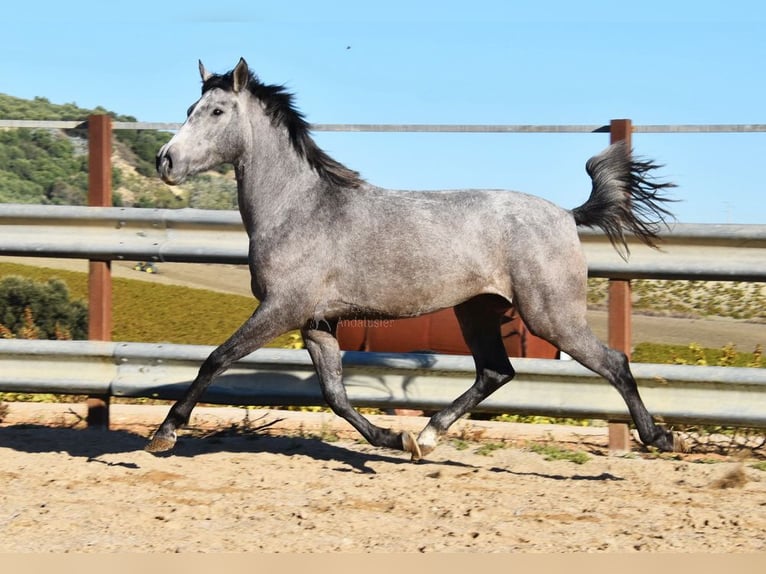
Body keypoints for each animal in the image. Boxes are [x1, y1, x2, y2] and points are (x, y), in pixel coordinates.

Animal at [150, 58, 684, 462]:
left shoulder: (281, 308)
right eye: (190, 108)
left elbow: (217, 358)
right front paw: (392, 438)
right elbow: (335, 394)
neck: (300, 208)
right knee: (496, 371)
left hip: (550, 315)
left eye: (217, 110)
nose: (165, 161)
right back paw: (426, 436)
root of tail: (567, 216)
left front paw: (165, 433)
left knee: (613, 362)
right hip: (477, 310)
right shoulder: (317, 322)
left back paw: (659, 436)